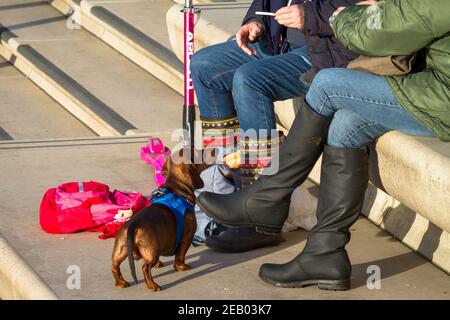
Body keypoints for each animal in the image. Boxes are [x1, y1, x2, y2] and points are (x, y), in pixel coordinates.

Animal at [110, 148, 213, 290]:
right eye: (198, 152)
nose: (212, 151)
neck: (177, 189)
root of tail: (133, 225)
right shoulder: (186, 237)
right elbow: (180, 255)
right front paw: (181, 267)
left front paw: (160, 264)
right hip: (152, 251)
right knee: (145, 268)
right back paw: (152, 285)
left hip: (121, 250)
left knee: (115, 266)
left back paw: (121, 283)